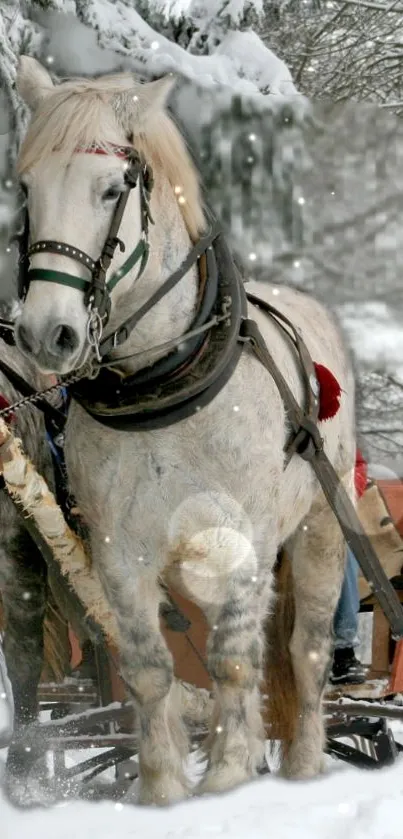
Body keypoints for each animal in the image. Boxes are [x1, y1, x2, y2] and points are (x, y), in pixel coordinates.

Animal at [14, 55, 356, 804]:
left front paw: (227, 776)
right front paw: (163, 788)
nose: (46, 332)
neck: (163, 380)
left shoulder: (245, 541)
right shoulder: (119, 553)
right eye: (25, 187)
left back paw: (302, 765)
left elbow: (233, 661)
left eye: (112, 188)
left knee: (305, 649)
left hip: (320, 525)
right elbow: (150, 670)